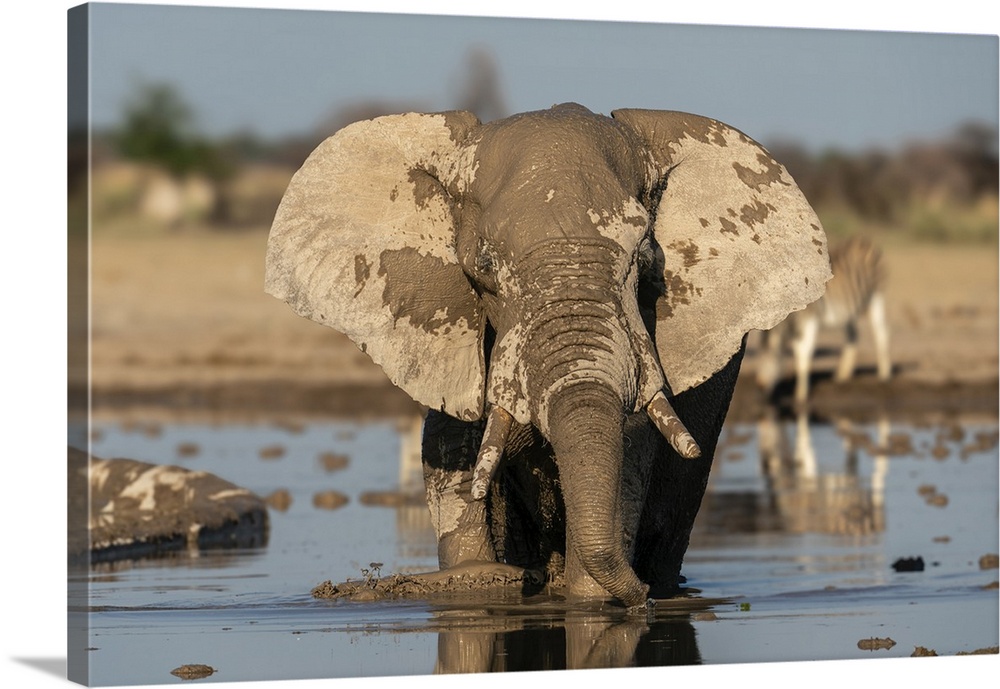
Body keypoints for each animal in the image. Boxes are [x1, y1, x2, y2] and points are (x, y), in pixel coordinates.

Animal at [265, 103, 831, 608]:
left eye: (646, 257)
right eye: (484, 265)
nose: (643, 601)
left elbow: (625, 465)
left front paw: (590, 599)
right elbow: (453, 468)